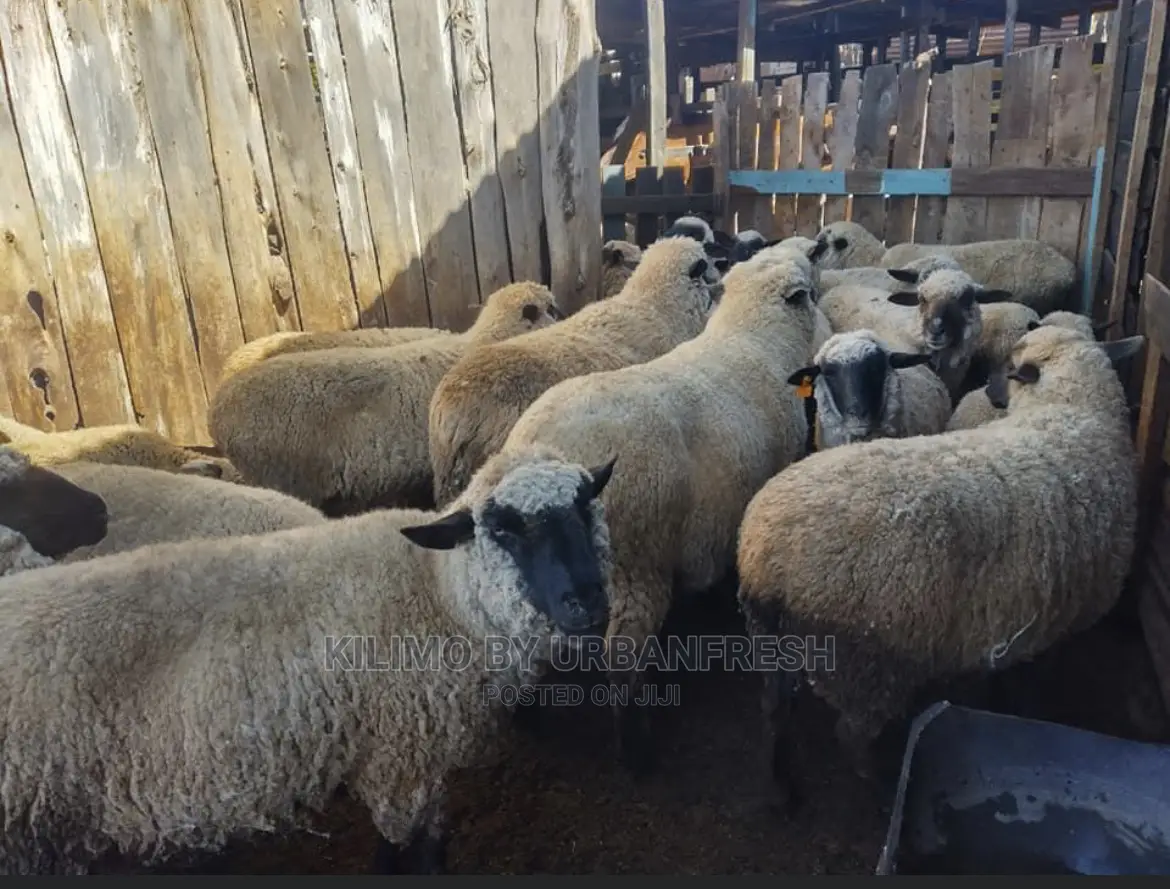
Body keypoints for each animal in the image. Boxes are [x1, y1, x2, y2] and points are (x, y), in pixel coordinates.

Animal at [501, 256, 823, 772]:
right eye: (811, 286)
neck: (755, 336)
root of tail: (545, 453)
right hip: (636, 563)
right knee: (622, 660)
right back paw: (636, 750)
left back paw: (528, 715)